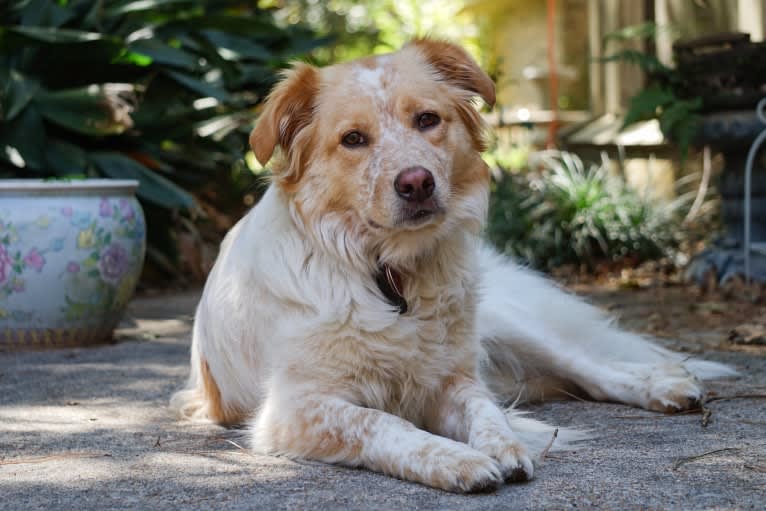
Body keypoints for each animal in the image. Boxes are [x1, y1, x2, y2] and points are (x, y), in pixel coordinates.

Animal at [174, 38, 736, 494]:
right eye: (352, 139)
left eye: (427, 120)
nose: (416, 182)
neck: (389, 276)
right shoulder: (294, 410)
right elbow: (385, 424)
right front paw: (455, 459)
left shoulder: (452, 378)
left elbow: (484, 409)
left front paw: (502, 445)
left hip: (501, 323)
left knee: (587, 366)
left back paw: (664, 386)